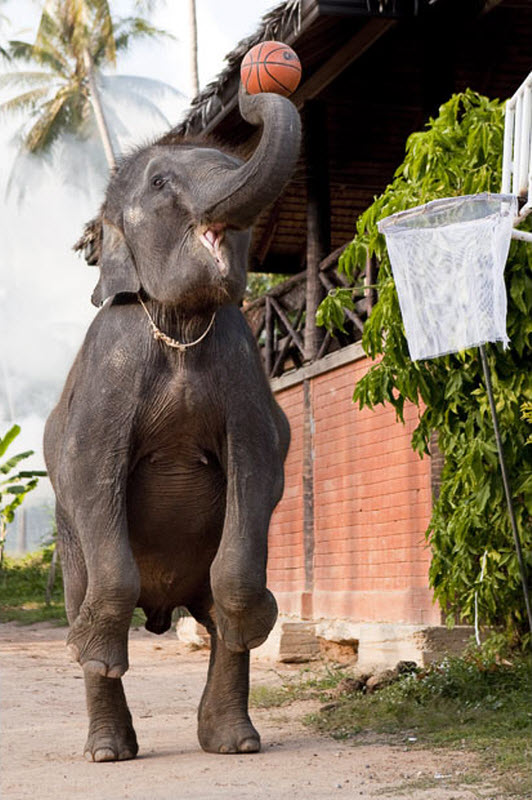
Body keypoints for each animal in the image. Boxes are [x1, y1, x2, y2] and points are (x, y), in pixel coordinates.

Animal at [43, 87, 302, 764]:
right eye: (161, 182)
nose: (252, 95)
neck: (179, 323)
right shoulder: (110, 368)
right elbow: (91, 473)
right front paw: (94, 652)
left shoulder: (244, 370)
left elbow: (259, 469)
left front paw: (255, 625)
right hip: (67, 542)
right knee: (82, 588)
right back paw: (107, 748)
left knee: (211, 614)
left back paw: (234, 742)